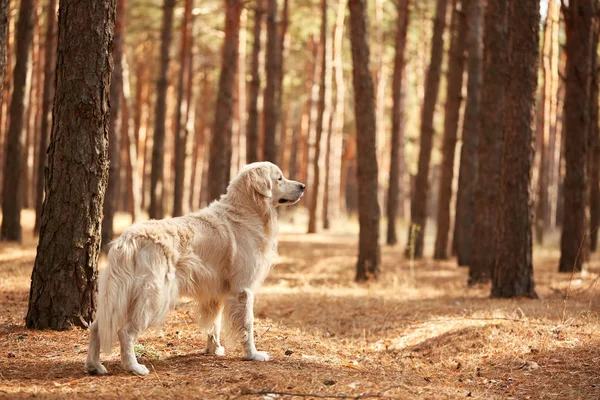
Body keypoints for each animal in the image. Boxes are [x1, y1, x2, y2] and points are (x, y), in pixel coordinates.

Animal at [84, 161, 304, 374]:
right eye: (279, 178)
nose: (302, 186)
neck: (246, 210)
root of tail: (127, 239)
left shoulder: (215, 292)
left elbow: (214, 325)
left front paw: (214, 350)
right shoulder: (243, 290)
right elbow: (247, 325)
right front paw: (253, 354)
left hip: (119, 295)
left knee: (96, 327)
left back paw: (95, 366)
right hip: (155, 296)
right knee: (125, 332)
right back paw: (134, 367)